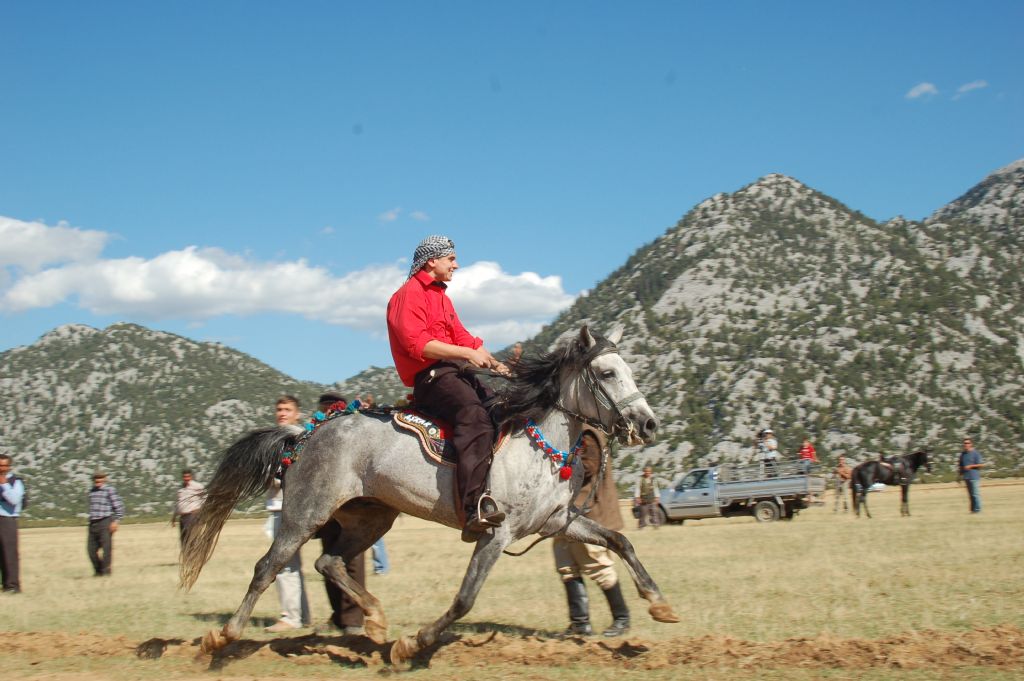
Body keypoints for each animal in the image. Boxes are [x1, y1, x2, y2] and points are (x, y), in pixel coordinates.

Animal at [182, 327, 679, 659]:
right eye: (608, 372)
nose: (648, 423)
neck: (538, 446)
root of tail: (305, 434)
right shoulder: (495, 533)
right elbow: (465, 598)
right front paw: (413, 643)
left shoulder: (559, 522)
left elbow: (620, 540)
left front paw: (661, 605)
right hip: (305, 514)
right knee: (268, 566)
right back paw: (222, 637)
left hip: (370, 516)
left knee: (330, 562)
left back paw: (375, 622)